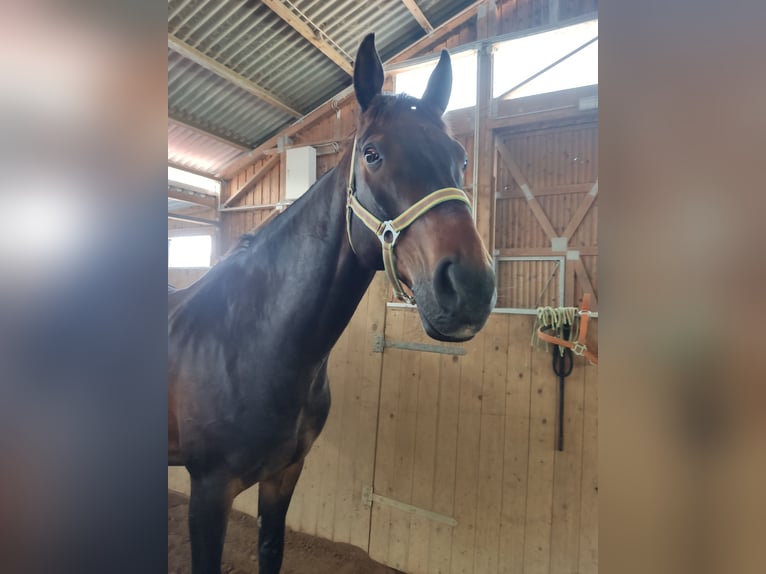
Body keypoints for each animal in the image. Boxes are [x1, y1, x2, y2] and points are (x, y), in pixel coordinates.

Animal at [168, 33, 497, 574]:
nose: (470, 285)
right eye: (372, 154)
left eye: (461, 158)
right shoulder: (209, 493)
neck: (249, 340)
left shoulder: (284, 474)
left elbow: (271, 551)